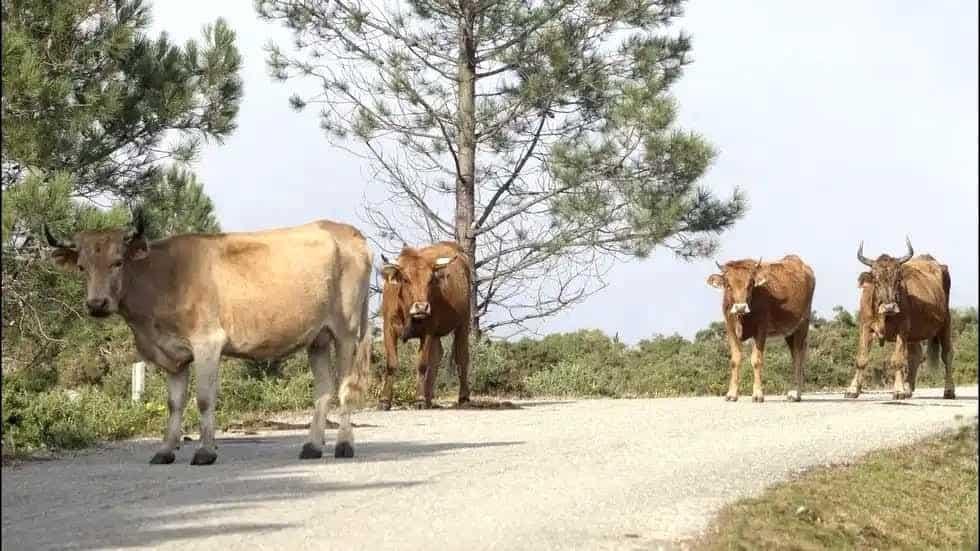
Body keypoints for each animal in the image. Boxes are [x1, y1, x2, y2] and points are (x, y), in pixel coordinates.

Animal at [42, 212, 374, 466]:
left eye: (117, 262)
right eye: (82, 267)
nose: (96, 304)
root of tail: (345, 231)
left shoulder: (207, 343)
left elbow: (203, 399)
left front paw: (204, 451)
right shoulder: (173, 356)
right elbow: (174, 403)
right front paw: (165, 451)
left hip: (346, 331)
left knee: (345, 387)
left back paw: (344, 445)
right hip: (318, 338)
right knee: (323, 389)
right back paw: (312, 446)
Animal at [378, 240, 470, 410]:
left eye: (430, 280)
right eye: (405, 279)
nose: (422, 307)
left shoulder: (428, 330)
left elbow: (422, 364)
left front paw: (419, 399)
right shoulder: (388, 329)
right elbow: (391, 364)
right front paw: (384, 400)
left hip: (463, 323)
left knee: (461, 358)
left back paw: (463, 397)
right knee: (437, 355)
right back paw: (429, 398)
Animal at [708, 256, 816, 404]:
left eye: (750, 285)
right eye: (728, 285)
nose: (741, 307)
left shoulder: (761, 329)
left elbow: (756, 360)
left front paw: (758, 394)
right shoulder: (730, 328)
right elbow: (735, 360)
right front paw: (731, 394)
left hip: (803, 324)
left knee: (798, 357)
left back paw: (794, 393)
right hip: (789, 331)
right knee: (795, 355)